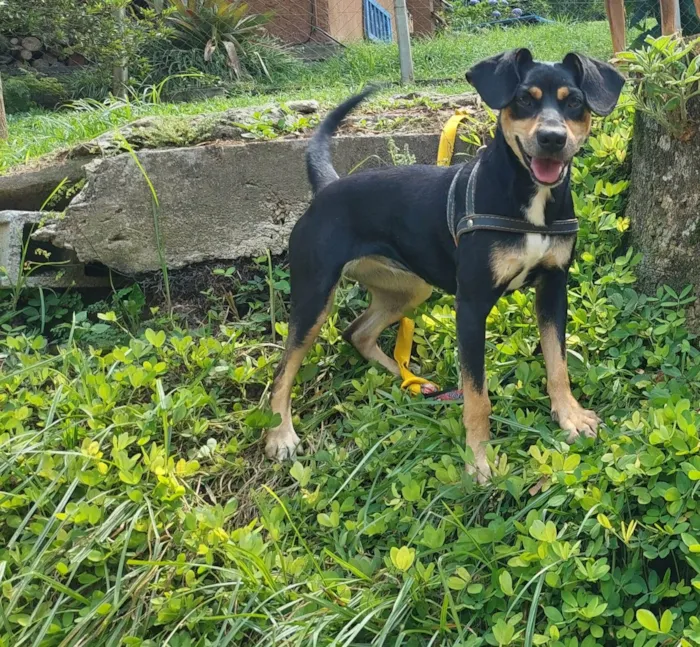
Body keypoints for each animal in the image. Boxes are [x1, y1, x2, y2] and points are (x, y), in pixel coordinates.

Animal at [264, 48, 624, 484]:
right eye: (524, 99)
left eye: (574, 102)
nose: (552, 138)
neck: (529, 202)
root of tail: (328, 186)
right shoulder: (470, 306)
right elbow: (477, 396)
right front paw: (478, 461)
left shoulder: (554, 289)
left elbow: (557, 365)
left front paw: (570, 417)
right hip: (315, 294)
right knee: (283, 369)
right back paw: (280, 435)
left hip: (408, 287)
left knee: (357, 333)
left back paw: (409, 380)